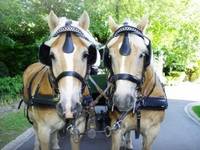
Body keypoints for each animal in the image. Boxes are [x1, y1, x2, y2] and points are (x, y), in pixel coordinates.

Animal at [22, 10, 98, 150]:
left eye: (86, 55)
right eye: (51, 55)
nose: (68, 107)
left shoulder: (77, 128)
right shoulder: (44, 131)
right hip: (32, 116)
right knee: (35, 128)